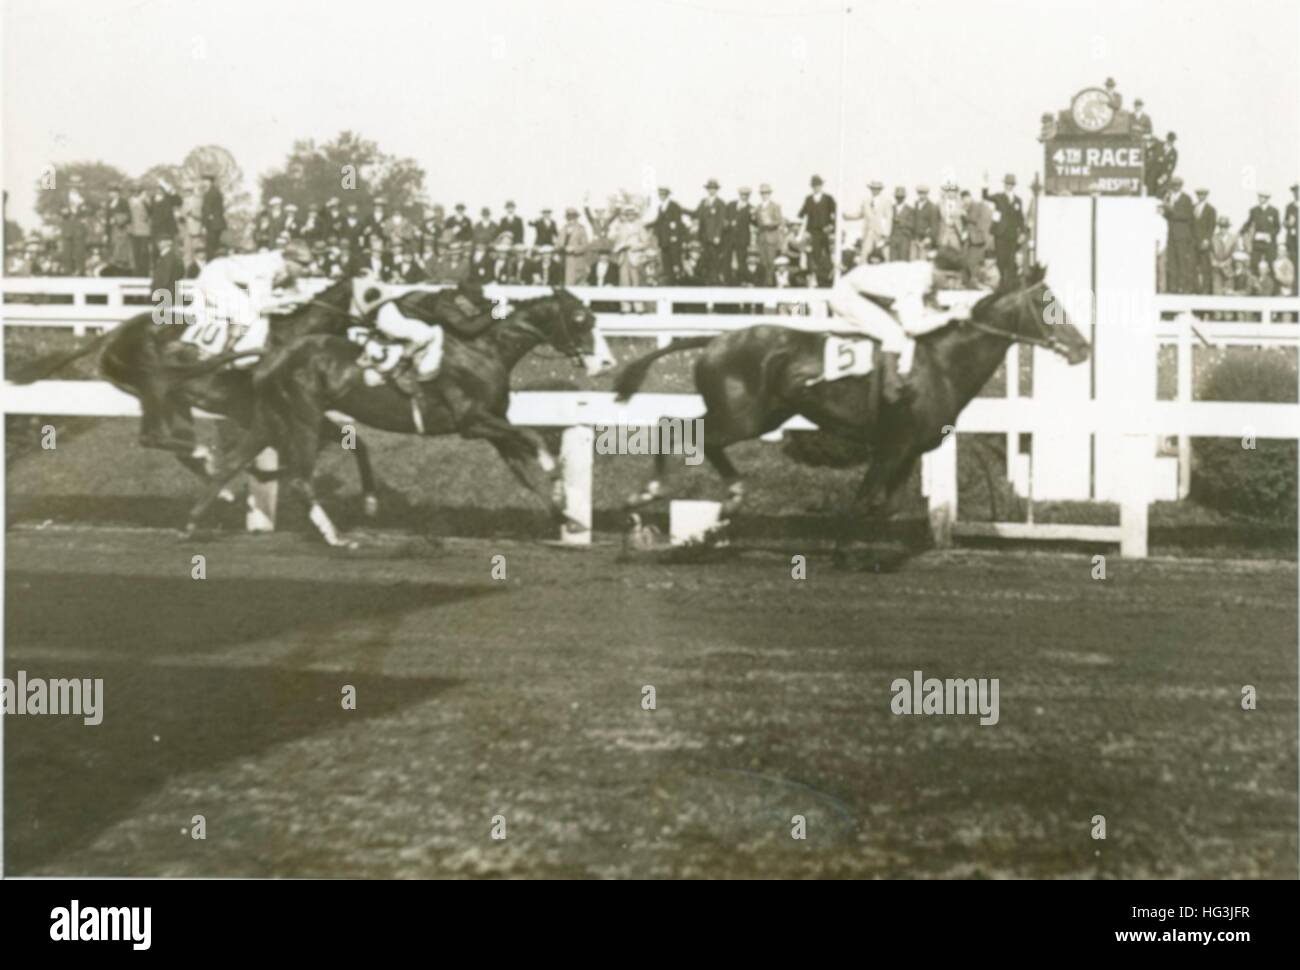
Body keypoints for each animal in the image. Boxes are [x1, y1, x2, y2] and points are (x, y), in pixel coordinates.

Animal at [183, 287, 598, 543]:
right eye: (580, 319)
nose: (598, 361)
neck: (484, 351)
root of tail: (273, 356)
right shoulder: (471, 420)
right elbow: (531, 437)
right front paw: (555, 472)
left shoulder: (491, 428)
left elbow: (523, 471)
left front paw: (568, 517)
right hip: (302, 418)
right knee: (299, 478)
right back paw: (335, 536)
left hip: (272, 419)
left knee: (230, 464)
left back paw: (191, 524)